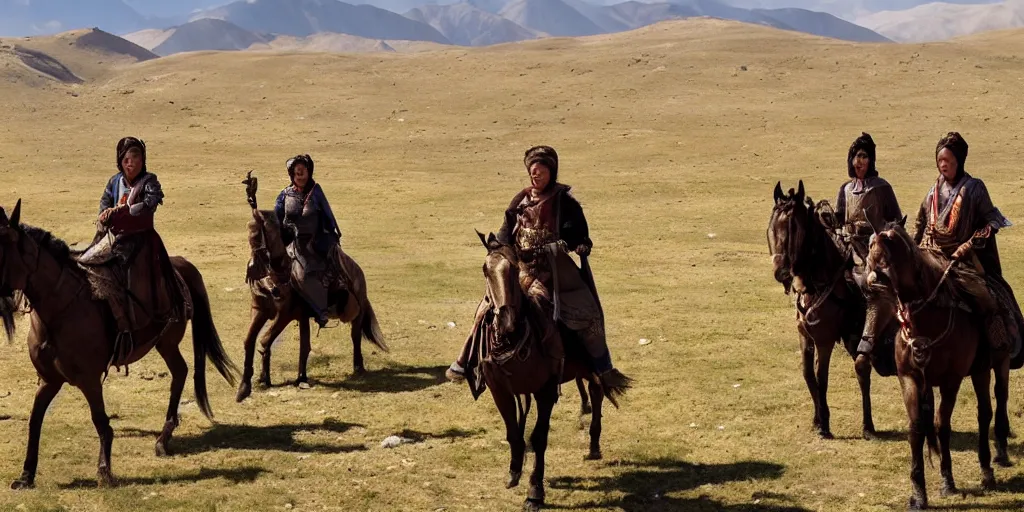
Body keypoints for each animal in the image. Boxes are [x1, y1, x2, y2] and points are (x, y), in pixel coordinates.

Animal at [0, 198, 237, 487]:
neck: (58, 310)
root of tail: (180, 264)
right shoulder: (49, 379)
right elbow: (35, 421)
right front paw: (26, 475)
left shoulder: (89, 379)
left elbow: (100, 421)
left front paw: (104, 470)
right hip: (164, 343)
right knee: (180, 371)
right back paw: (164, 437)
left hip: (168, 341)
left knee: (180, 373)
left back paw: (162, 439)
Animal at [234, 172, 387, 403]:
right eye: (248, 234)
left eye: (259, 234)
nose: (254, 270)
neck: (278, 275)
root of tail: (357, 269)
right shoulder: (260, 310)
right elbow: (250, 341)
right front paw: (247, 385)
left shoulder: (285, 314)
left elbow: (265, 340)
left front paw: (264, 378)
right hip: (305, 315)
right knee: (305, 345)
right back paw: (301, 376)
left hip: (357, 310)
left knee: (355, 336)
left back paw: (358, 367)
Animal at [466, 233, 630, 512]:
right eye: (485, 270)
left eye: (514, 270)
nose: (506, 322)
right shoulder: (500, 391)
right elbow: (513, 433)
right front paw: (514, 471)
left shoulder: (546, 391)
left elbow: (539, 437)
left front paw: (535, 492)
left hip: (589, 361)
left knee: (596, 390)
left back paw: (594, 445)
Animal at [770, 181, 897, 440]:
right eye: (773, 224)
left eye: (794, 227)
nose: (780, 271)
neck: (818, 284)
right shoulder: (805, 336)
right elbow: (808, 375)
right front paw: (817, 419)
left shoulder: (825, 340)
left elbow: (822, 377)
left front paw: (825, 424)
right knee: (863, 369)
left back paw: (869, 426)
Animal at [868, 219, 1011, 507]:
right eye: (869, 251)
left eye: (886, 257)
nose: (870, 286)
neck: (927, 321)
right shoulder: (911, 379)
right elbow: (916, 429)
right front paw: (918, 493)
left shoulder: (950, 381)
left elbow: (941, 426)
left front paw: (948, 481)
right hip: (978, 370)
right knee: (984, 411)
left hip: (996, 365)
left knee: (993, 406)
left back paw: (991, 464)